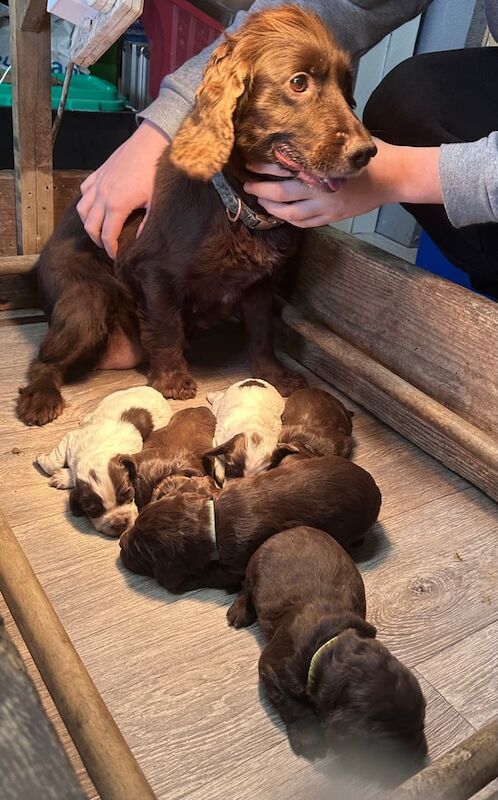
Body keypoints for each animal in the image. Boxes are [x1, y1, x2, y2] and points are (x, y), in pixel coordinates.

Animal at [15, 4, 376, 424]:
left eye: (348, 92)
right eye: (299, 83)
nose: (367, 153)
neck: (236, 200)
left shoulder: (259, 284)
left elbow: (261, 333)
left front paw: (273, 376)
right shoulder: (153, 273)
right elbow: (166, 326)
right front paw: (172, 379)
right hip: (86, 301)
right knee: (44, 360)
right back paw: (40, 398)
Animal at [36, 388, 172, 536]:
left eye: (128, 492)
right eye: (93, 510)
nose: (120, 524)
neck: (98, 450)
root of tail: (155, 391)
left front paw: (61, 475)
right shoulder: (71, 440)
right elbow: (54, 463)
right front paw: (45, 461)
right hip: (111, 397)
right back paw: (86, 418)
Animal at [119, 454, 382, 592]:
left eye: (141, 551)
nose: (121, 543)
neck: (212, 519)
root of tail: (376, 488)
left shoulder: (236, 565)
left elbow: (213, 576)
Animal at [228, 524, 426, 776]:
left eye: (422, 721)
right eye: (389, 752)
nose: (422, 760)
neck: (329, 643)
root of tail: (293, 528)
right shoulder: (272, 668)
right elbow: (293, 706)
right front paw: (309, 738)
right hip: (254, 568)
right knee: (246, 588)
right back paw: (239, 612)